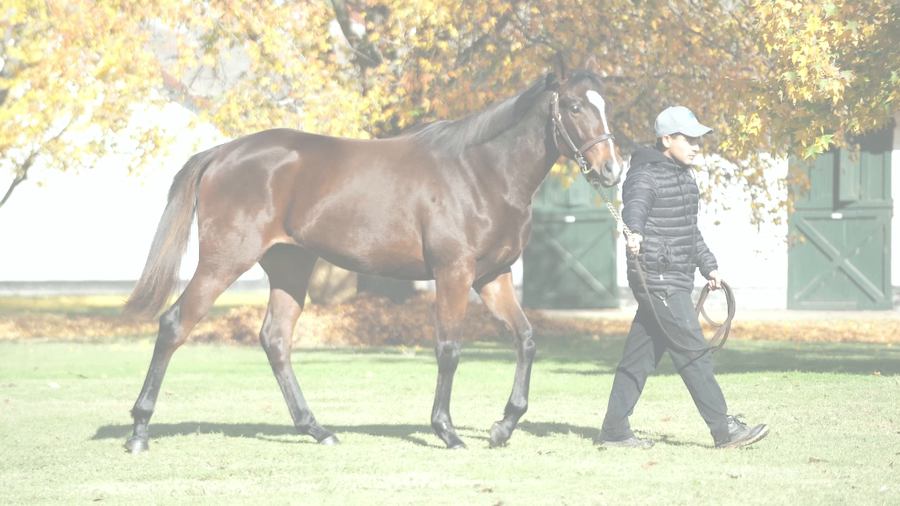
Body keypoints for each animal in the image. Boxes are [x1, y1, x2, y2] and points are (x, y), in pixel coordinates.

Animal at [122, 56, 625, 452]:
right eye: (575, 106)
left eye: (606, 107)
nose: (612, 169)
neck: (480, 172)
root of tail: (222, 153)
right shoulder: (455, 273)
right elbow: (449, 348)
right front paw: (446, 431)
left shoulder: (493, 277)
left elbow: (525, 339)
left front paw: (503, 426)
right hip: (223, 263)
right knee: (175, 325)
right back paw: (140, 430)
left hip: (289, 266)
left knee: (276, 339)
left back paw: (317, 429)